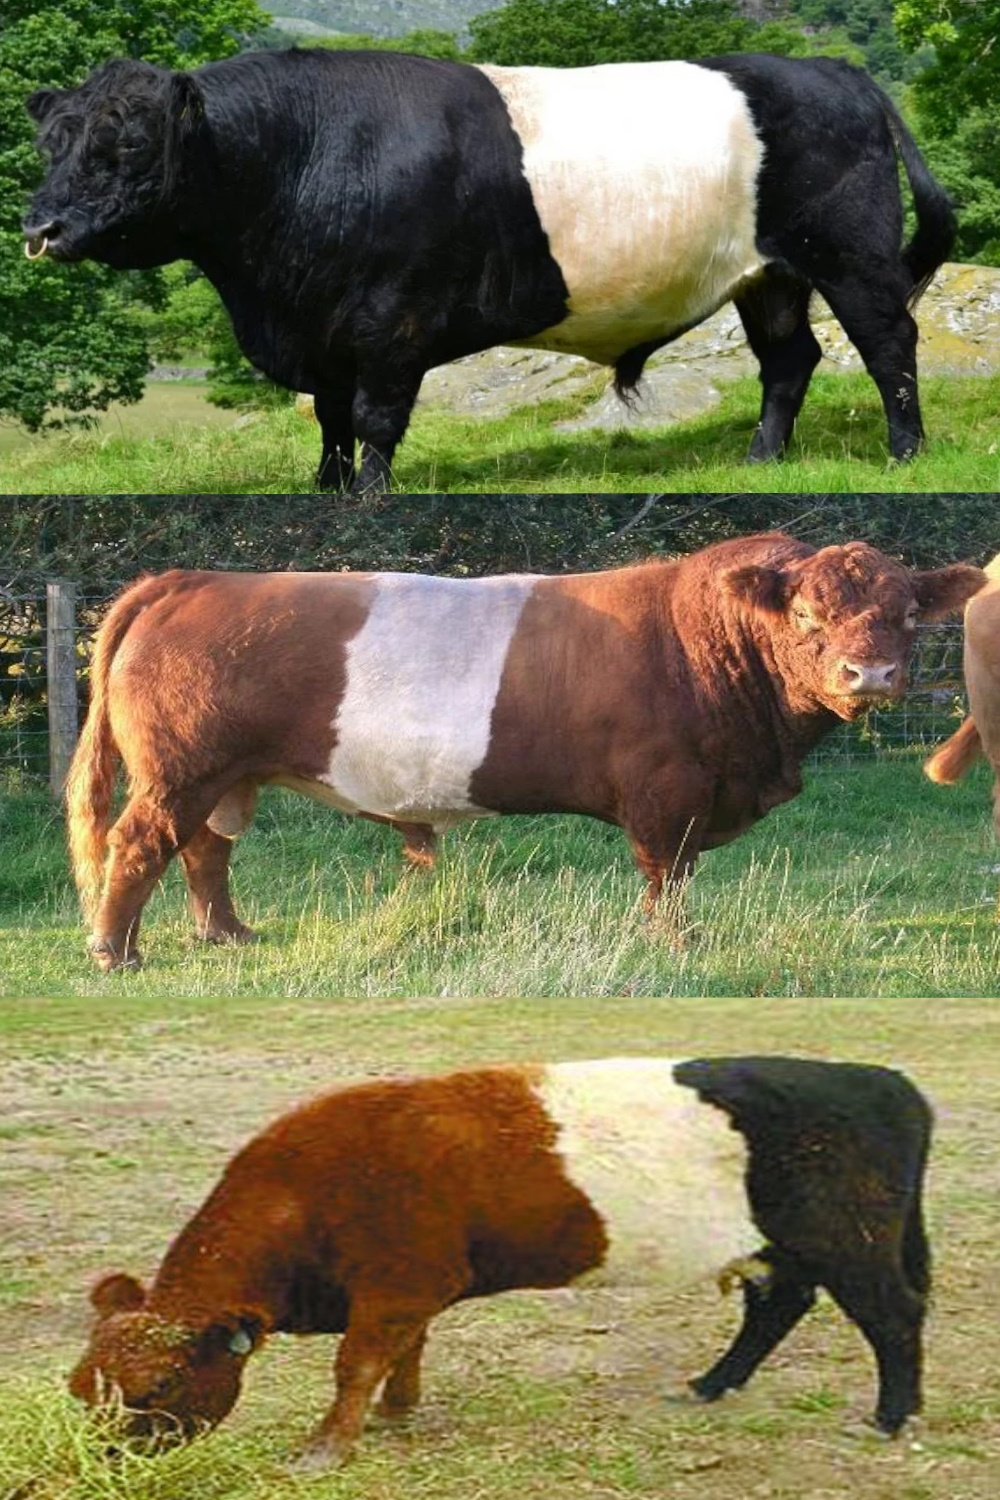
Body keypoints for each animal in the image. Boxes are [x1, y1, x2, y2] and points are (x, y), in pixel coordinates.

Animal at [24, 49, 954, 490]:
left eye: (129, 146)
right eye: (50, 143)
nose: (40, 227)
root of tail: (835, 72)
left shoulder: (388, 322)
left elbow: (373, 421)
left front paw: (370, 496)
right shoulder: (320, 330)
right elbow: (327, 418)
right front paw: (325, 488)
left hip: (851, 257)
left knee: (887, 344)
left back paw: (905, 454)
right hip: (767, 276)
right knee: (790, 361)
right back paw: (761, 460)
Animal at [65, 532, 984, 972]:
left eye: (907, 614)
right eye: (806, 617)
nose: (873, 674)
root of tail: (190, 579)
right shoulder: (667, 793)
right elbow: (668, 876)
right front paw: (674, 946)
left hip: (222, 773)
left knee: (204, 851)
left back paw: (228, 937)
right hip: (182, 768)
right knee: (141, 843)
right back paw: (116, 953)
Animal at [68, 1055, 934, 1467]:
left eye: (155, 1389)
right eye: (80, 1389)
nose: (98, 1464)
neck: (305, 1192)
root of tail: (882, 1079)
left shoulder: (396, 1285)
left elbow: (355, 1365)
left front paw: (324, 1449)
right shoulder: (407, 1290)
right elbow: (402, 1355)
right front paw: (397, 1412)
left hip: (852, 1245)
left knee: (894, 1318)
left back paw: (890, 1417)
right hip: (776, 1250)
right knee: (777, 1308)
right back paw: (709, 1384)